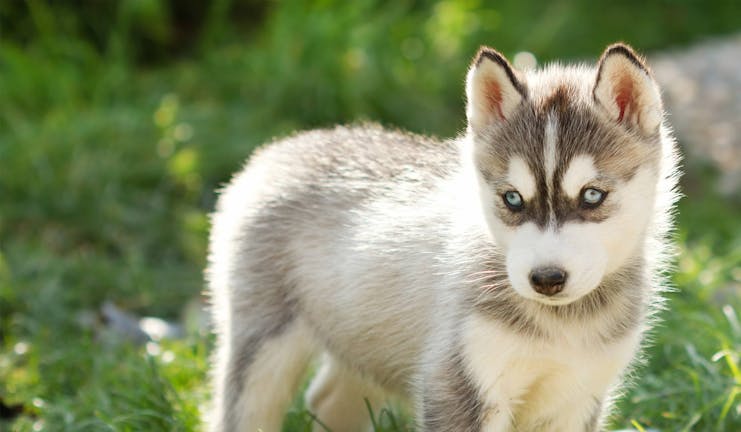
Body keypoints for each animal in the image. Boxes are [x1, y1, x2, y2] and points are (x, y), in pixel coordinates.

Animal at [205, 42, 680, 430]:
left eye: (592, 195)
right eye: (512, 199)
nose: (546, 279)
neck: (562, 326)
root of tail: (278, 150)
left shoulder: (575, 396)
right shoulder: (458, 382)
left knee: (326, 400)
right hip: (262, 343)